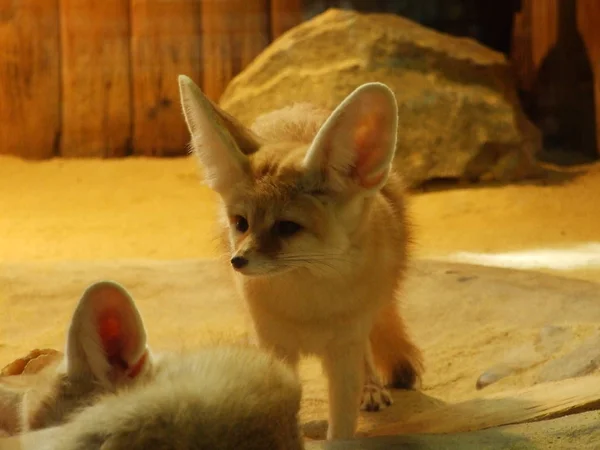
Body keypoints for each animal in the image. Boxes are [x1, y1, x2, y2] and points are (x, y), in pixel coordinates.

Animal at [179, 75, 426, 438]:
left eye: (286, 227)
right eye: (241, 223)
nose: (237, 261)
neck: (309, 309)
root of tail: (293, 108)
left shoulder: (344, 348)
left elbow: (341, 428)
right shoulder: (276, 346)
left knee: (368, 352)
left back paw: (371, 387)